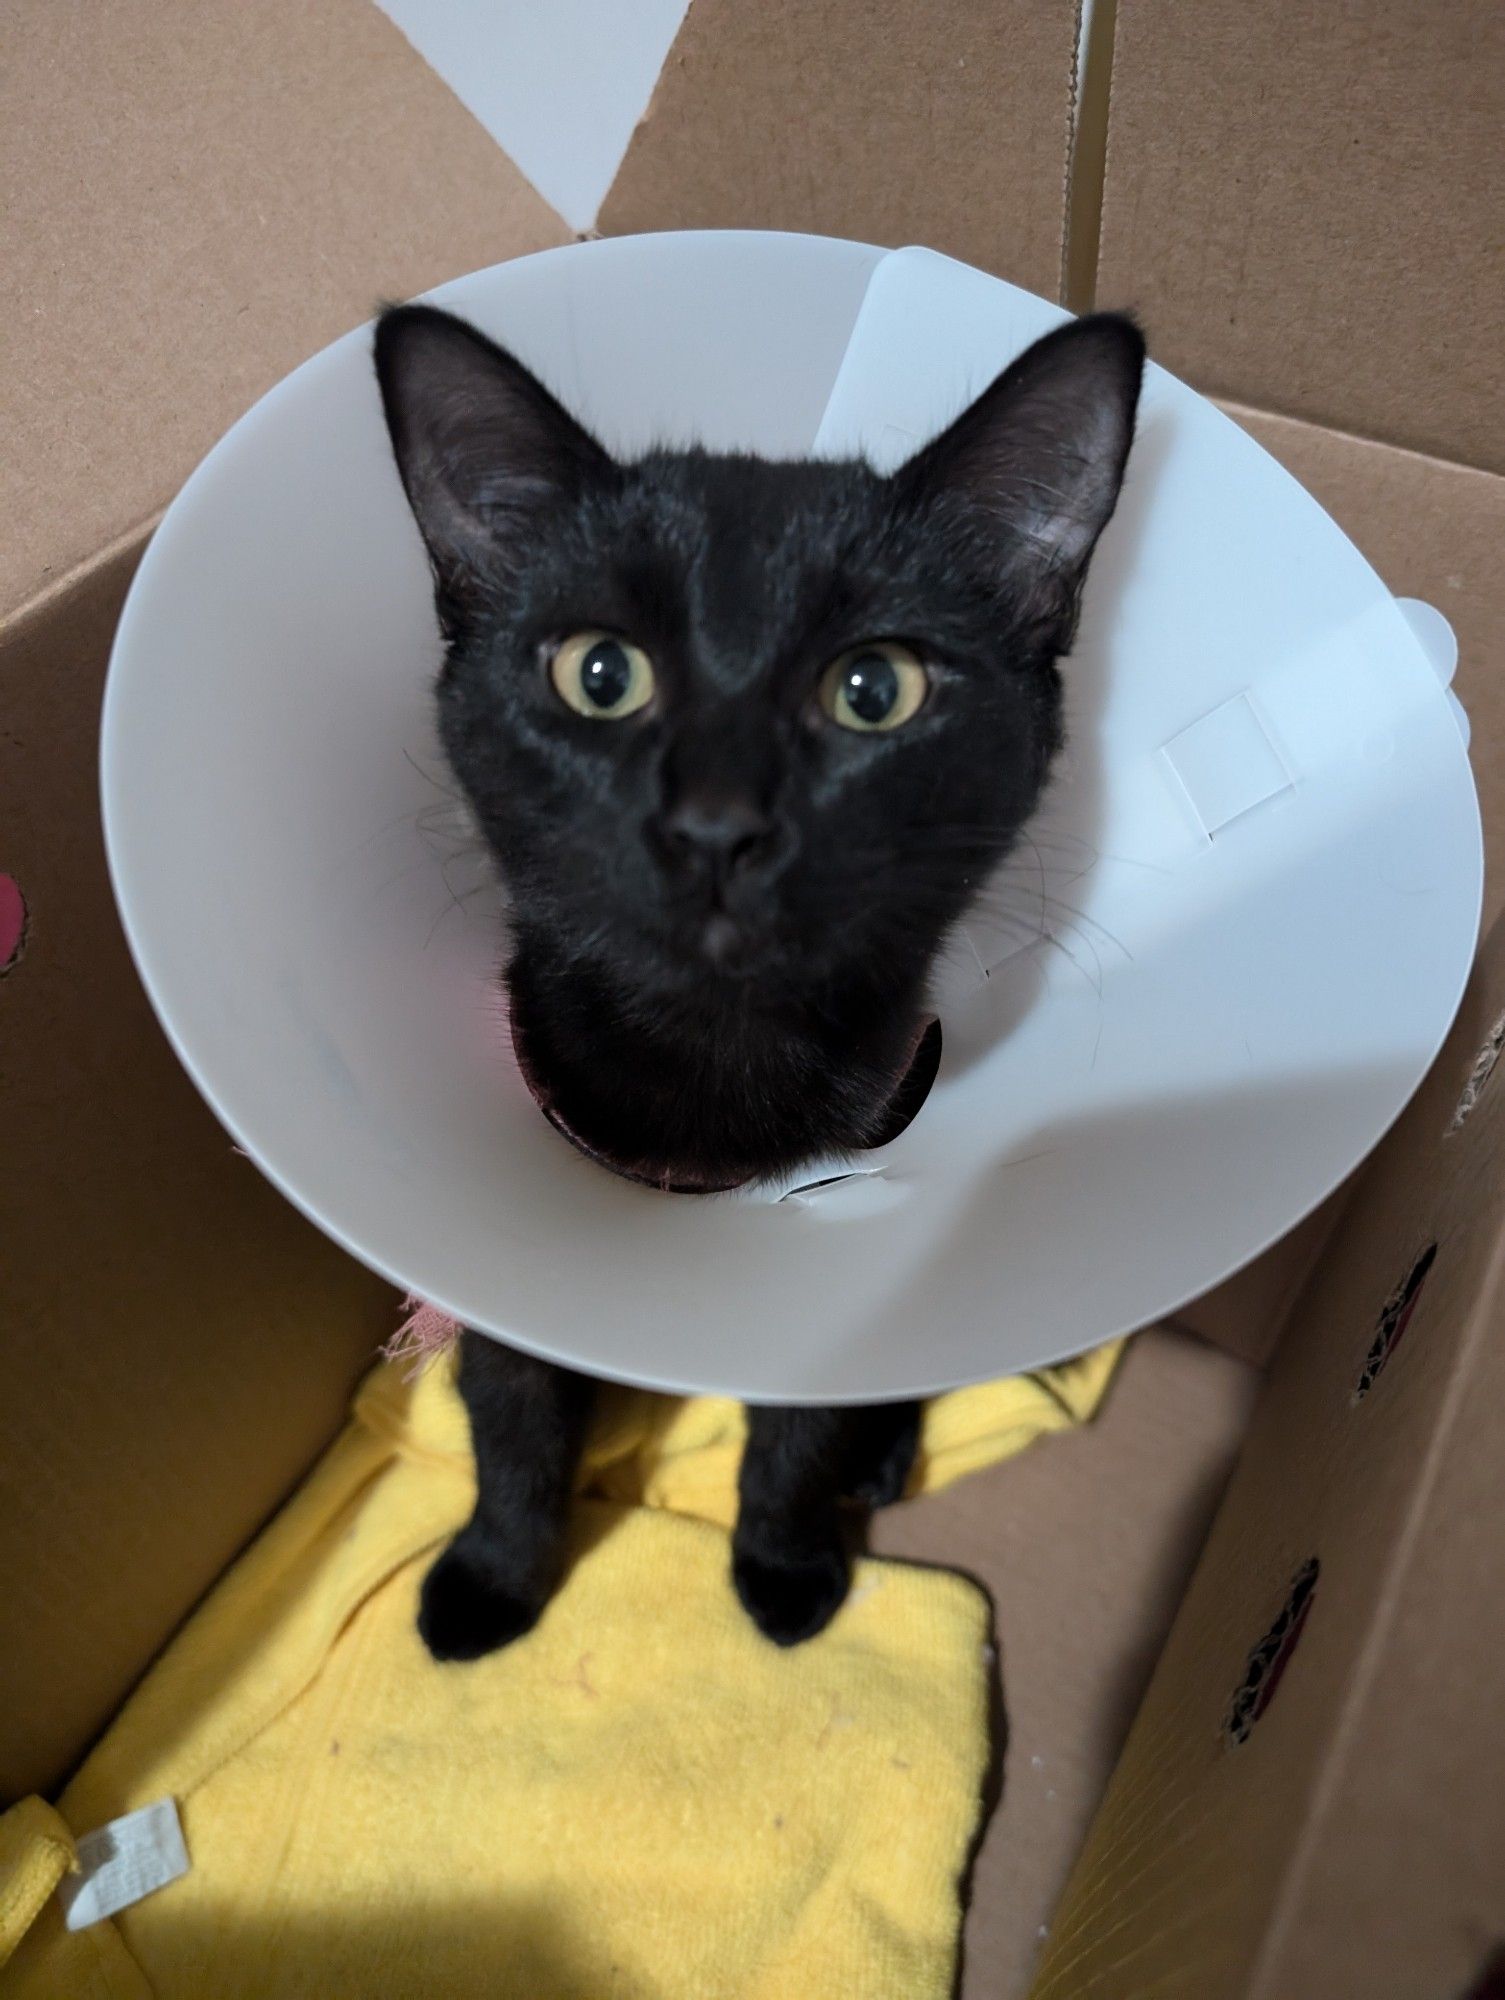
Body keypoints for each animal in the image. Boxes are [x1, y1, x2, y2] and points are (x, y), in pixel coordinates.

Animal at [376, 290, 1136, 1648]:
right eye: (599, 671)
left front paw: (782, 1573)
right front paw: (492, 1579)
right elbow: (510, 1414)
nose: (717, 822)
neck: (714, 1052)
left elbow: (799, 1427)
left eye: (874, 687)